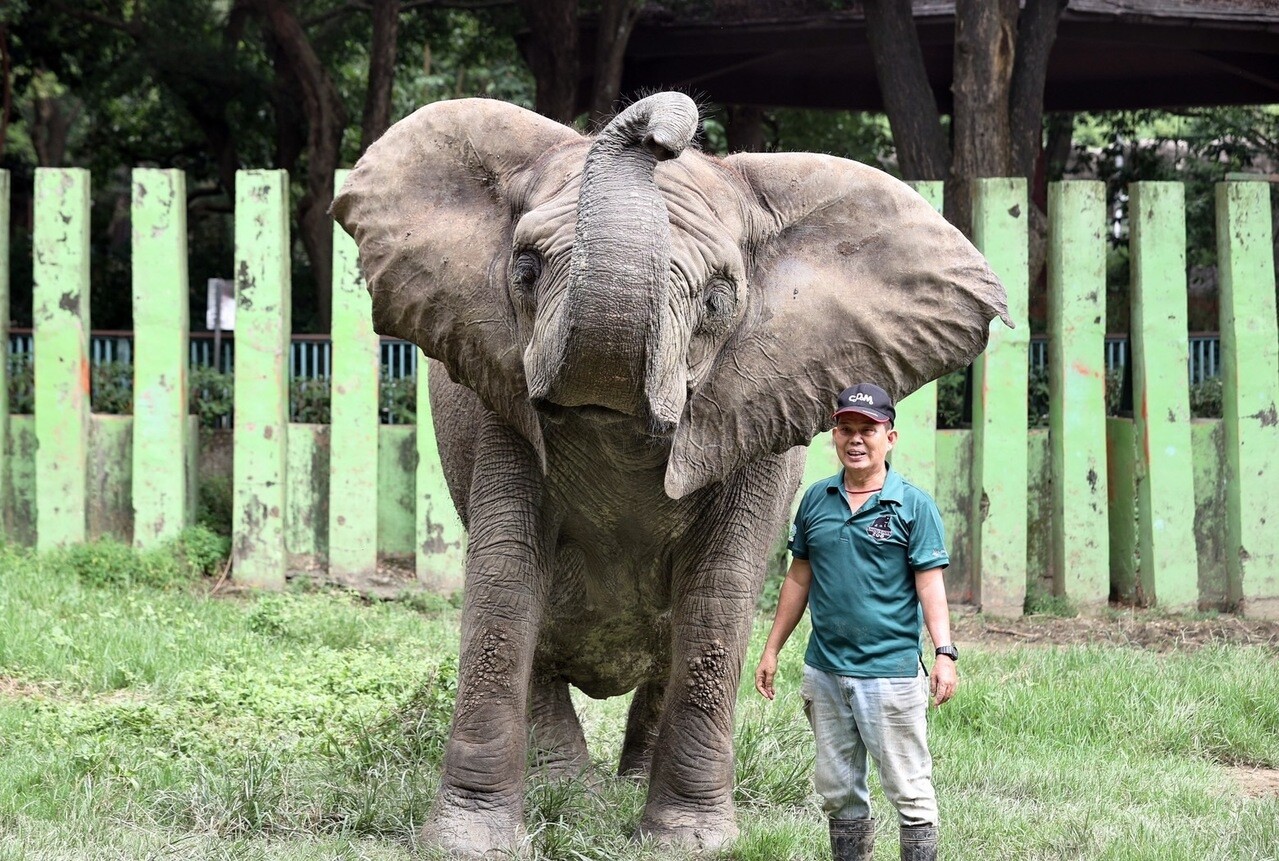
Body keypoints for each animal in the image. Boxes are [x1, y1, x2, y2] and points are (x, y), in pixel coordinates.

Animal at [335, 90, 1012, 854]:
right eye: (525, 270)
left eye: (717, 299)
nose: (663, 129)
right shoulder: (496, 397)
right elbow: (504, 588)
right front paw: (468, 844)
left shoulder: (758, 415)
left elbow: (717, 599)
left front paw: (690, 842)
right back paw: (569, 793)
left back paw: (625, 790)